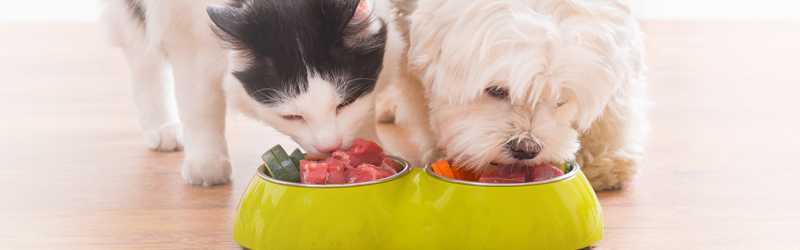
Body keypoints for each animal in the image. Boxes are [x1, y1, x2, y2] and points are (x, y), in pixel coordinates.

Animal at [103, 0, 390, 185]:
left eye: (347, 103)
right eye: (292, 117)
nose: (330, 146)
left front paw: (369, 146)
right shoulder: (186, 33)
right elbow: (199, 104)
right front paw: (206, 165)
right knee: (144, 60)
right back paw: (163, 129)